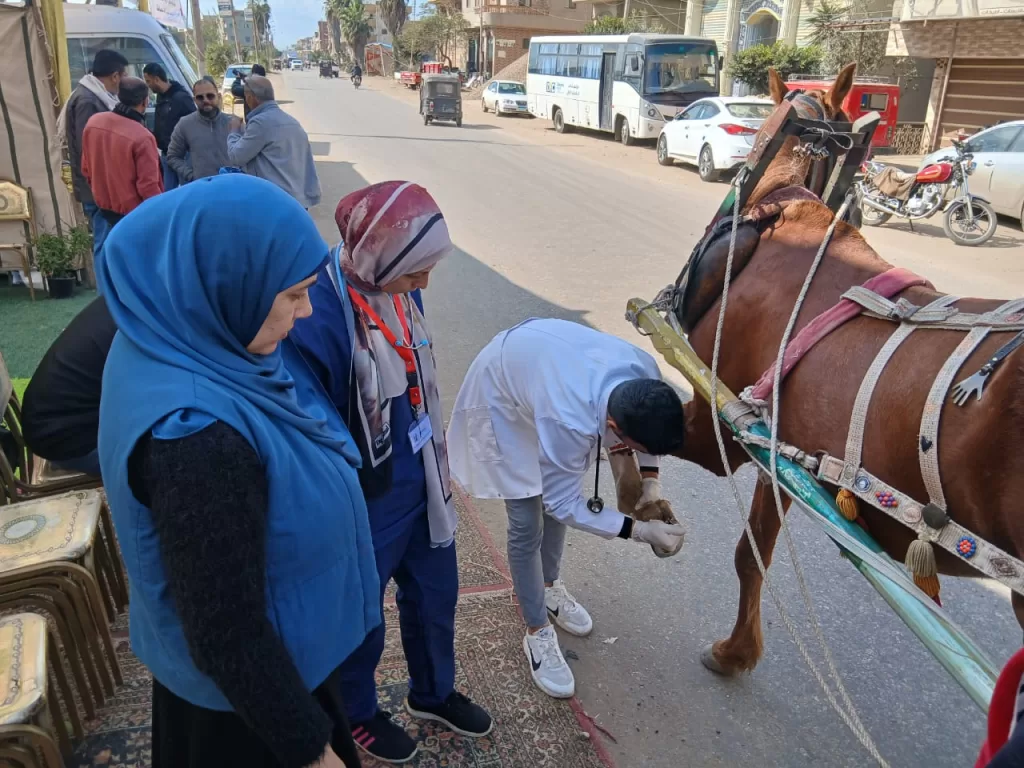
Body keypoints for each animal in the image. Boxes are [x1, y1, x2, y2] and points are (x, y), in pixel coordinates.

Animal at [618, 64, 1024, 679]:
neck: (783, 211)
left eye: (762, 130)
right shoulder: (778, 457)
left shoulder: (732, 431)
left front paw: (734, 652)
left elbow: (747, 553)